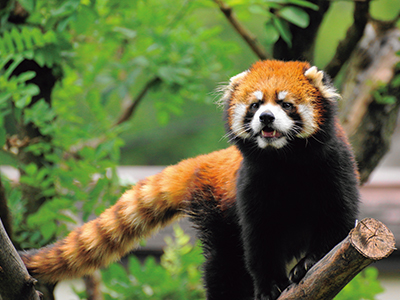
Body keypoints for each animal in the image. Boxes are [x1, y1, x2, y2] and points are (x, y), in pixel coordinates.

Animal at [21, 59, 360, 298]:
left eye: (286, 103)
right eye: (255, 105)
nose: (266, 117)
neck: (285, 162)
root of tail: (207, 160)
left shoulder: (335, 168)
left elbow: (337, 223)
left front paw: (310, 262)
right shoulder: (251, 188)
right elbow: (258, 242)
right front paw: (269, 287)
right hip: (216, 209)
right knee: (225, 263)